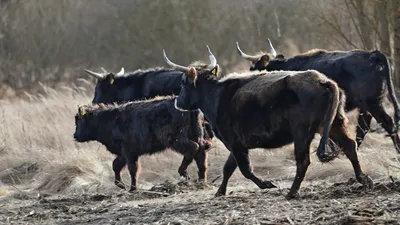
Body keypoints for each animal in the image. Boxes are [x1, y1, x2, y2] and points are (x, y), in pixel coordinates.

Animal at [236, 40, 400, 155]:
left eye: (253, 68)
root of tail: (374, 54)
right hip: (367, 105)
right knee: (362, 129)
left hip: (372, 102)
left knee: (387, 123)